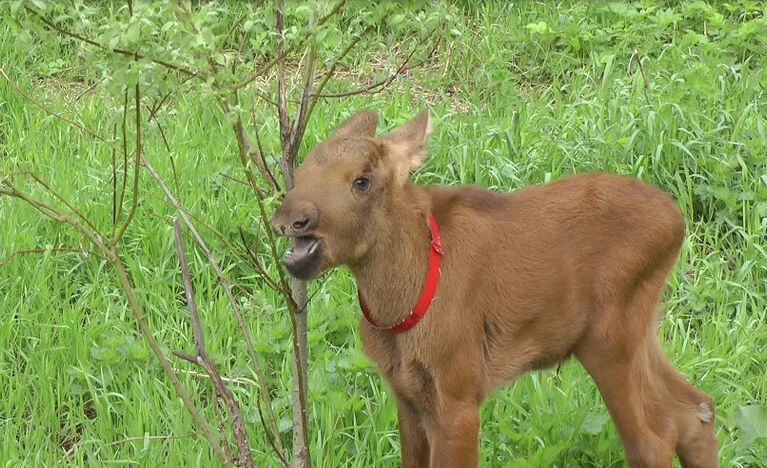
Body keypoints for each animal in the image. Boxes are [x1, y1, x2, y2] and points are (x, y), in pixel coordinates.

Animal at [272, 111, 720, 466]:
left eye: (362, 181)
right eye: (303, 168)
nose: (289, 218)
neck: (399, 310)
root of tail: (677, 222)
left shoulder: (459, 393)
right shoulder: (406, 393)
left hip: (609, 337)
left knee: (653, 440)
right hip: (640, 329)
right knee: (695, 409)